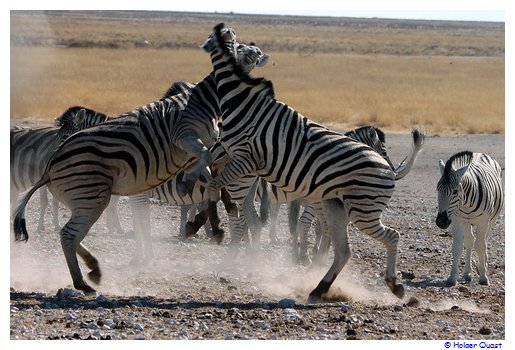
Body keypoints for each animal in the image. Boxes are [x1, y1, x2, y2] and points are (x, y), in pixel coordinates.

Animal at [204, 24, 406, 304]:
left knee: (391, 236)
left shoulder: (246, 158)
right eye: (240, 47)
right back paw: (319, 288)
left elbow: (214, 184)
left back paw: (394, 285)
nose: (224, 36)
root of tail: (385, 168)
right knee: (343, 250)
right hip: (337, 206)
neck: (243, 101)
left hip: (362, 210)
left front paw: (215, 224)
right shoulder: (235, 158)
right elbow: (212, 176)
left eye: (252, 52)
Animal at [436, 152, 504, 286]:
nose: (441, 221)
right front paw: (452, 277)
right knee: (469, 241)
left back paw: (483, 266)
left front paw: (483, 277)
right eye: (437, 189)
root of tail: (481, 154)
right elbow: (457, 247)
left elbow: (480, 246)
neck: (466, 203)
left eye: (455, 191)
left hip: (491, 220)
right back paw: (467, 273)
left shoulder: (483, 222)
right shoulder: (456, 220)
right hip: (466, 222)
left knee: (484, 240)